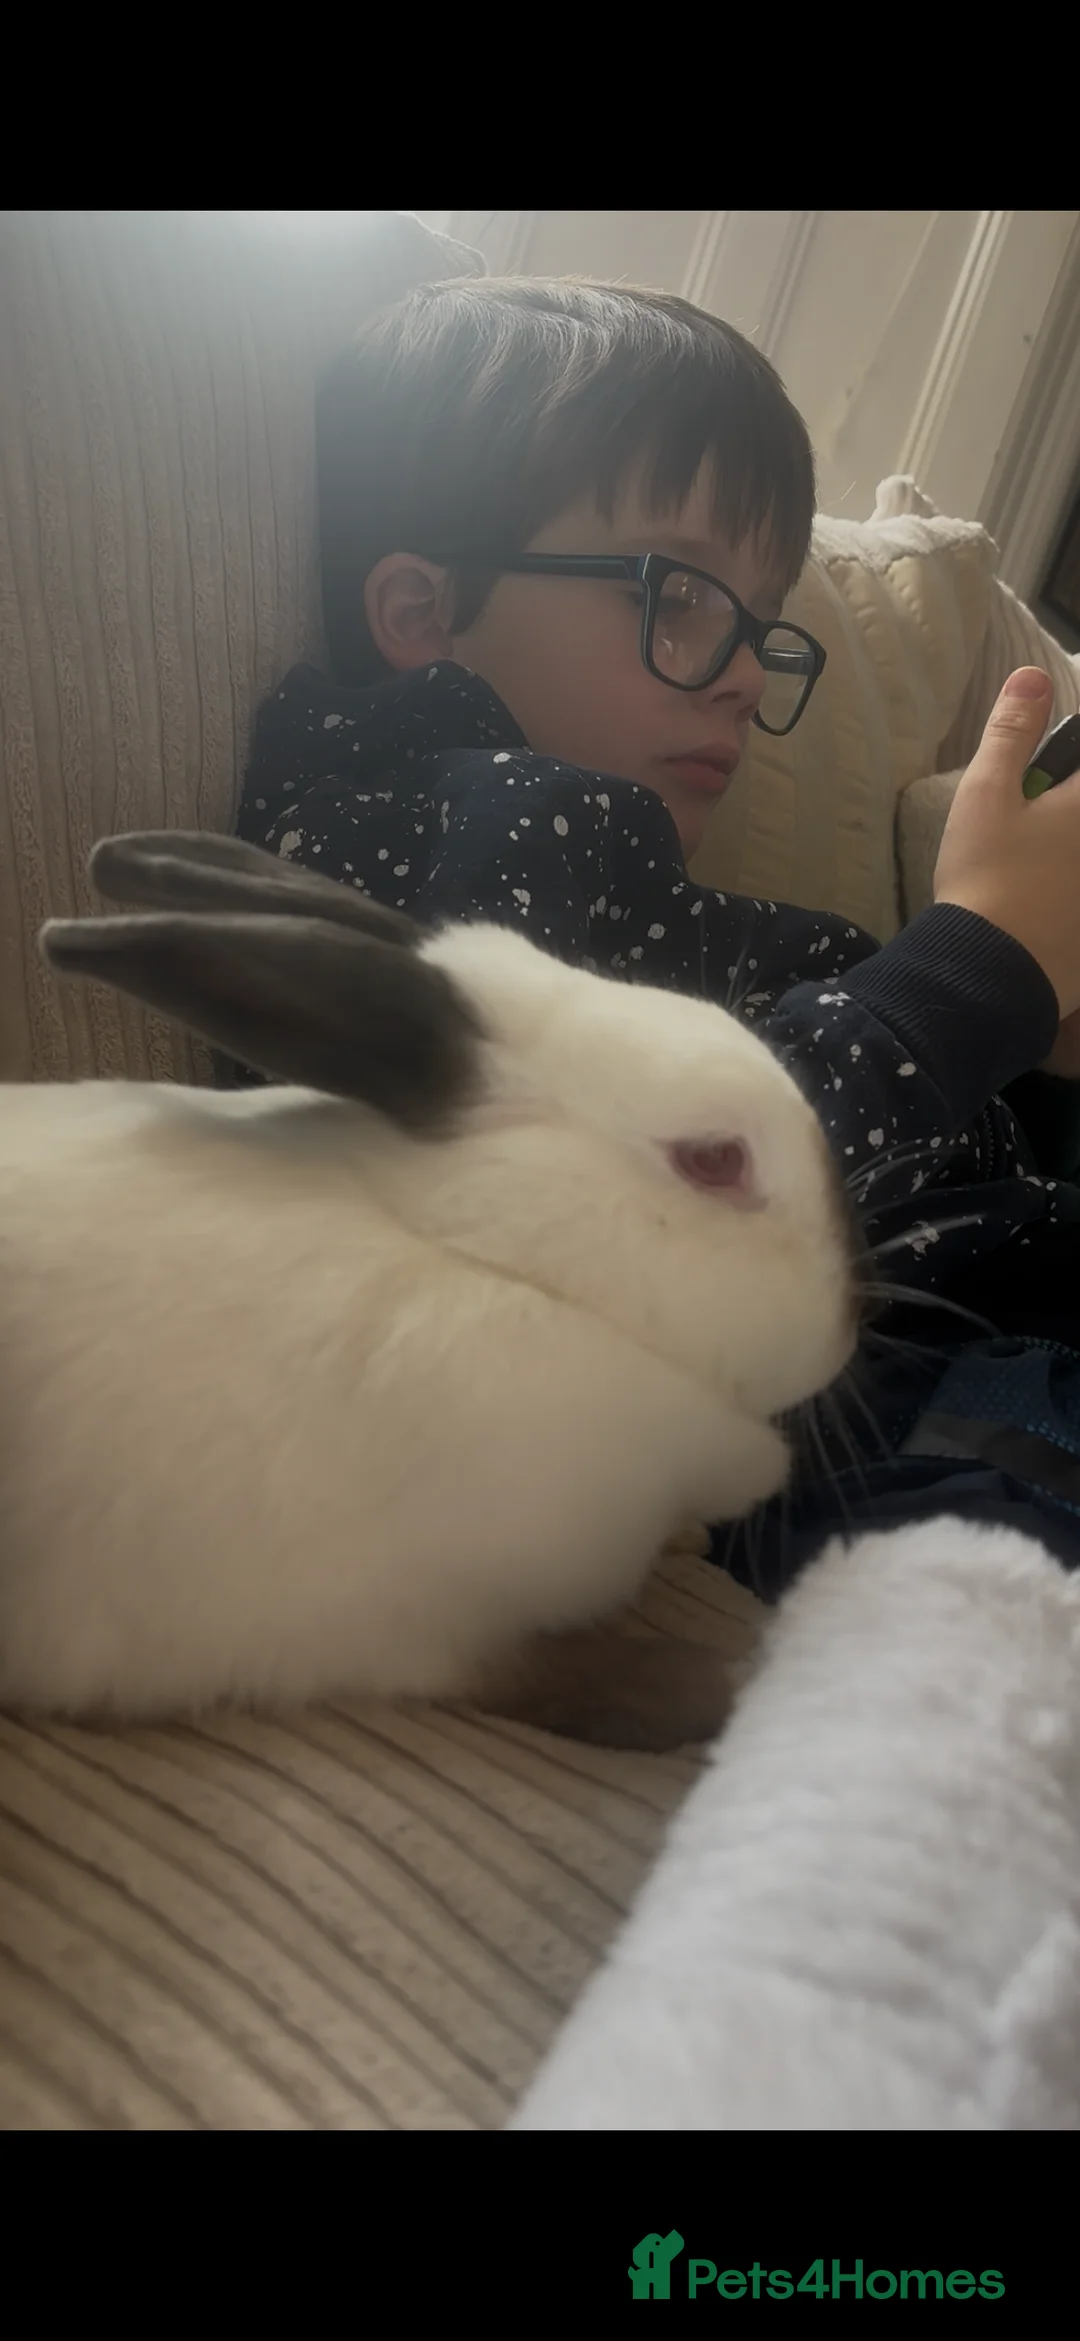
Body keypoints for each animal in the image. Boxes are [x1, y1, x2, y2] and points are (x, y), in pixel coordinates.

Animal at [0, 831, 861, 1749]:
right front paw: (729, 1680)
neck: (489, 1256)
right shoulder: (438, 1630)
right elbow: (593, 1683)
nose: (846, 1327)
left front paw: (689, 1538)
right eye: (715, 1159)